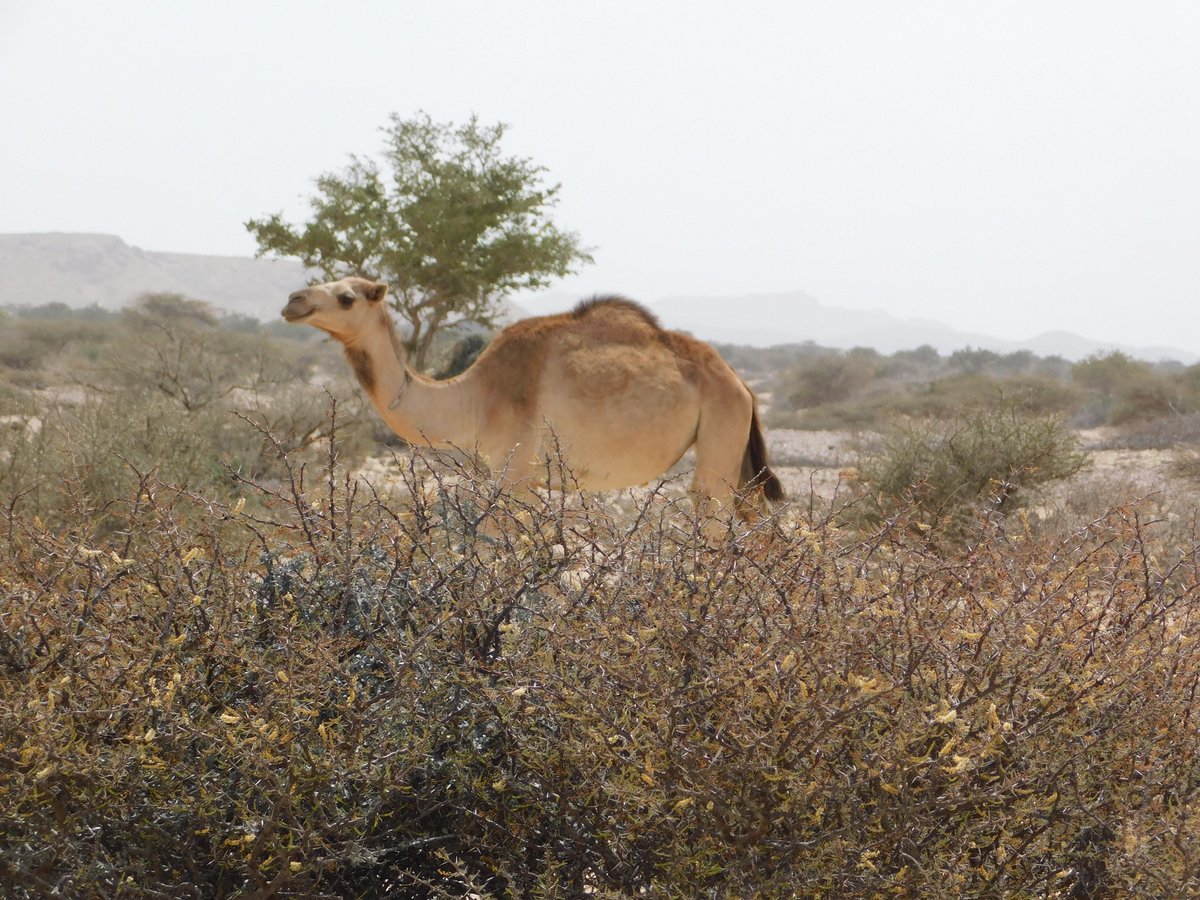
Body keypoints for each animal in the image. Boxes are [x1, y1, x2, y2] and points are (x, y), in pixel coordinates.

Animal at [282, 277, 783, 517]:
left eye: (347, 297)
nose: (294, 301)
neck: (473, 395)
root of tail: (741, 385)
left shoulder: (516, 471)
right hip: (736, 451)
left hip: (721, 429)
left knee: (713, 511)